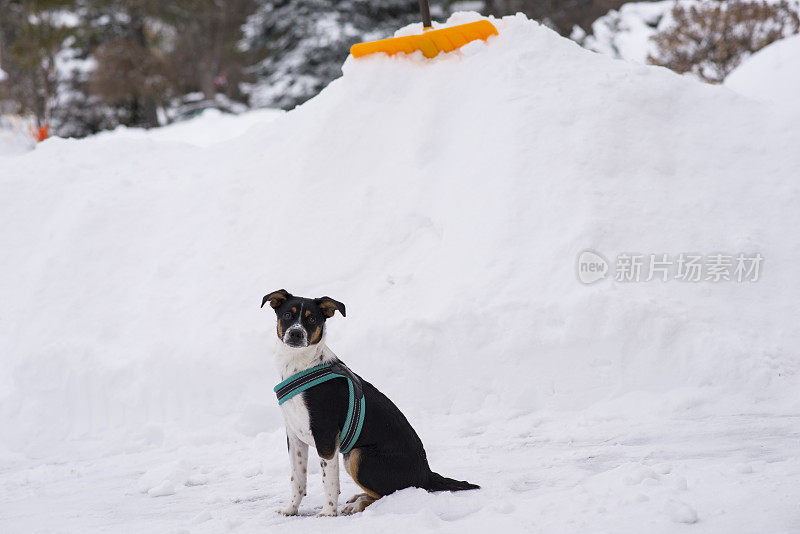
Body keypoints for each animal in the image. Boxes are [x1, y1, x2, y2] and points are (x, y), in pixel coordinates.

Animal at [262, 292, 478, 516]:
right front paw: (291, 509)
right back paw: (358, 497)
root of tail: (427, 474)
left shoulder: (326, 437)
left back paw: (358, 504)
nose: (296, 333)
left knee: (390, 495)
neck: (301, 366)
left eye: (312, 319)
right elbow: (297, 479)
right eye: (287, 315)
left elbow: (329, 481)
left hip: (358, 456)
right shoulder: (295, 437)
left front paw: (328, 512)